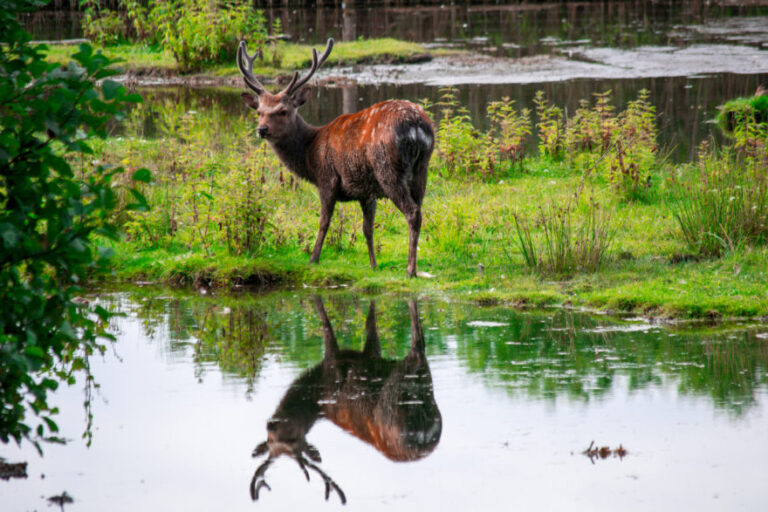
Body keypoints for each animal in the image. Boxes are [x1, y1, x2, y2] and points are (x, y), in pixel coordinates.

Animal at [237, 38, 436, 278]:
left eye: (283, 111)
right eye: (259, 111)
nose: (262, 129)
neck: (309, 154)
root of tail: (416, 126)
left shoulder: (327, 178)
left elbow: (324, 221)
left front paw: (313, 259)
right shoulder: (366, 191)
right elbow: (367, 228)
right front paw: (373, 265)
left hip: (387, 168)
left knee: (412, 212)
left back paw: (410, 270)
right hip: (421, 169)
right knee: (420, 210)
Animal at [250, 296, 440, 504]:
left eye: (293, 439)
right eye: (270, 440)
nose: (272, 425)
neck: (316, 392)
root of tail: (424, 435)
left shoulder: (332, 362)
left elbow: (327, 322)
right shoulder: (370, 355)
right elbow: (370, 321)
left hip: (396, 394)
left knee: (416, 345)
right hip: (425, 387)